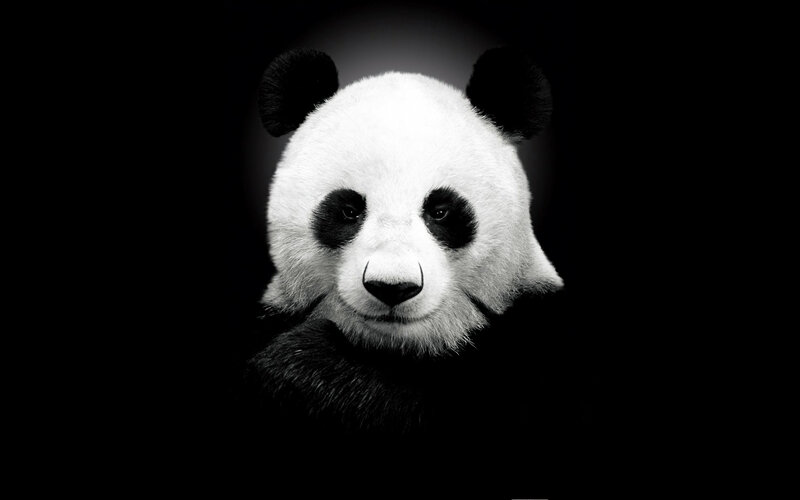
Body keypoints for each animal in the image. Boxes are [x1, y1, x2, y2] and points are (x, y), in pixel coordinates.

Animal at [240, 48, 581, 457]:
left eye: (441, 211)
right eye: (349, 210)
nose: (392, 287)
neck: (395, 349)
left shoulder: (536, 337)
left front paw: (303, 365)